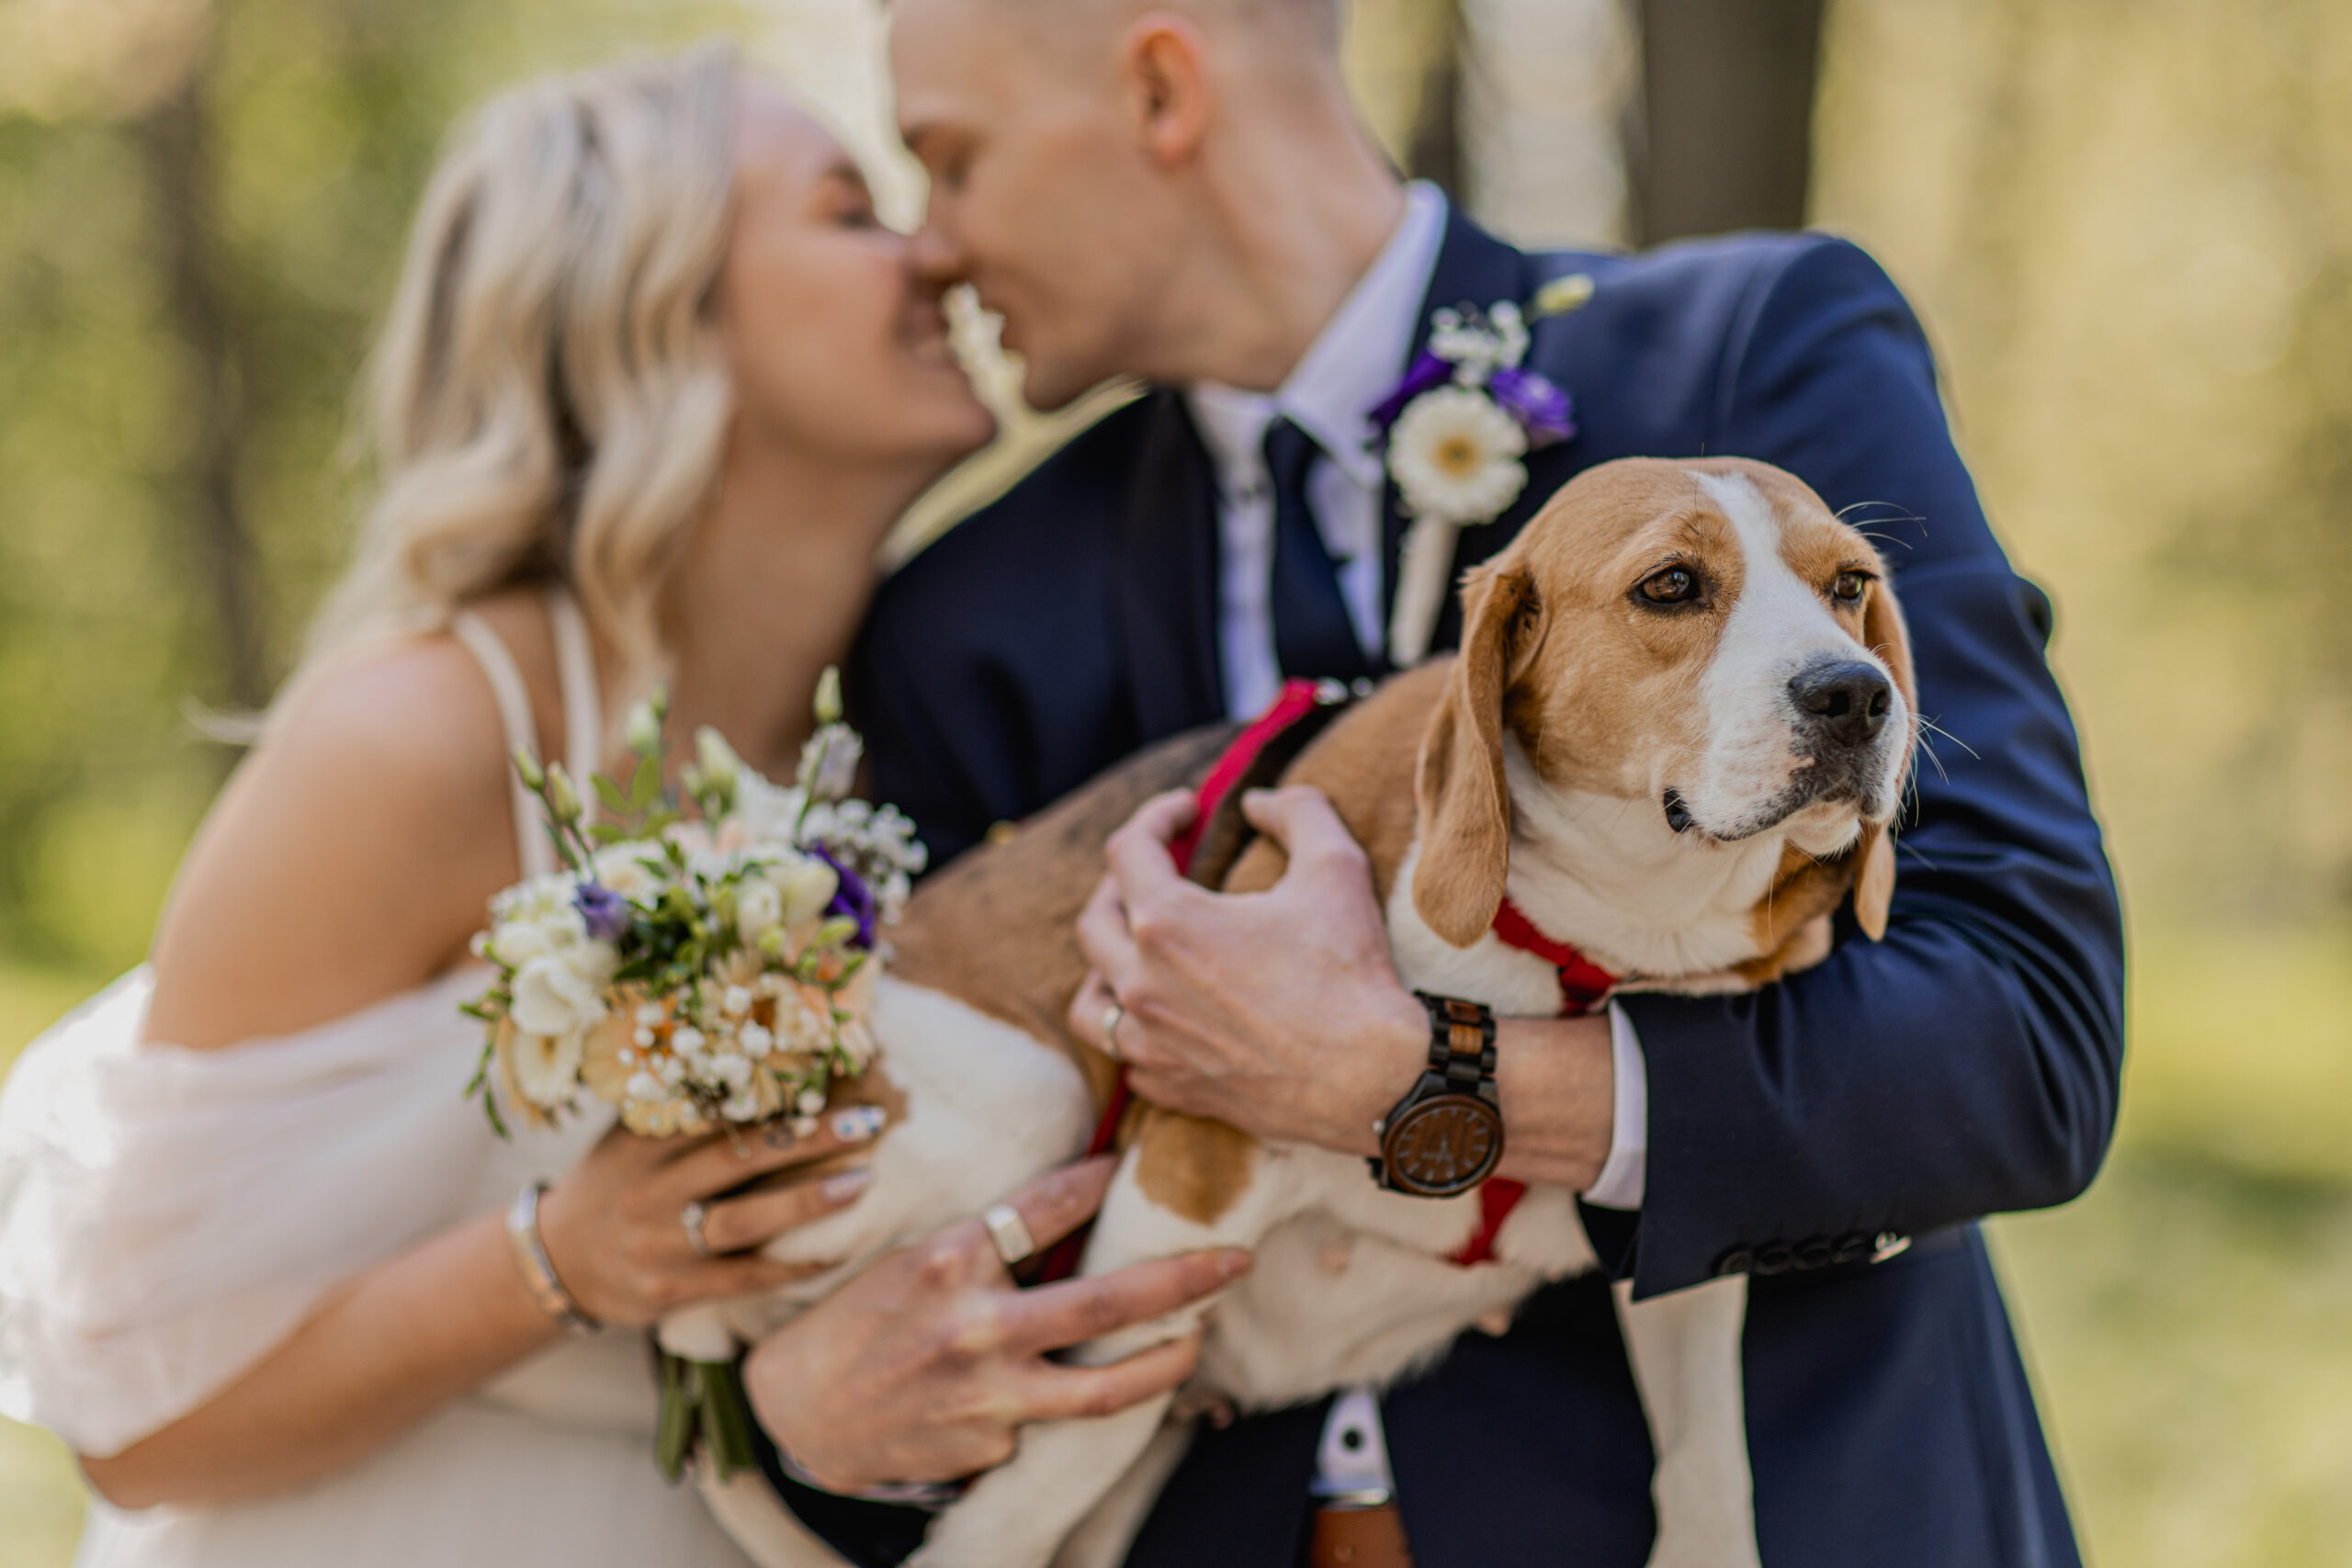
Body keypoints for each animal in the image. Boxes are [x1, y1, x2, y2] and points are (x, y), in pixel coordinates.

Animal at [695, 456, 1909, 1568]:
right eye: (1669, 586)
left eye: (1849, 585)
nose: (1855, 694)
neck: (1595, 941)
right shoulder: (1186, 1180)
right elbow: (1057, 1460)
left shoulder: (1670, 1236)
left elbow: (1706, 1459)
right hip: (1028, 1103)